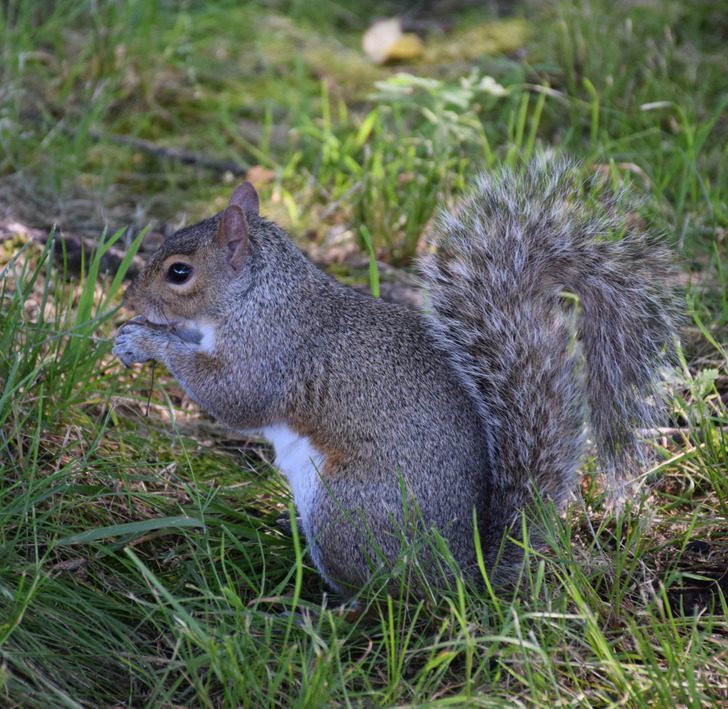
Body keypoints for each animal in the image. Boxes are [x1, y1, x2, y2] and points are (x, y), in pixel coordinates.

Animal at [112, 158, 676, 596]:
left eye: (179, 272)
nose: (128, 298)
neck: (257, 295)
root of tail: (460, 574)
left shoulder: (271, 352)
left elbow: (232, 398)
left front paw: (145, 341)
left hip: (344, 513)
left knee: (381, 597)